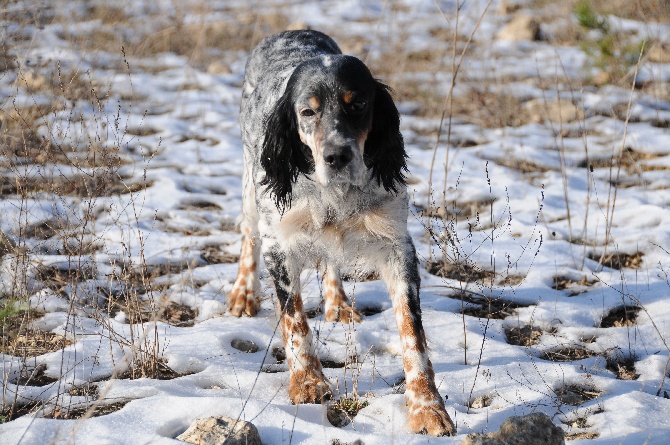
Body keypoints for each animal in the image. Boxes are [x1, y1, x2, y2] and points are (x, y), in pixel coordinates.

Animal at [230, 29, 456, 436]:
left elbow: (412, 332)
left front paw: (427, 408)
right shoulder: (279, 245)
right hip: (251, 187)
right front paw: (307, 382)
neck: (334, 194)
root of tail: (291, 30)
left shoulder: (398, 247)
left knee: (330, 262)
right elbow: (295, 320)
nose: (337, 156)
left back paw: (339, 303)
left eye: (358, 104)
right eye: (307, 112)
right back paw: (243, 294)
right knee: (248, 237)